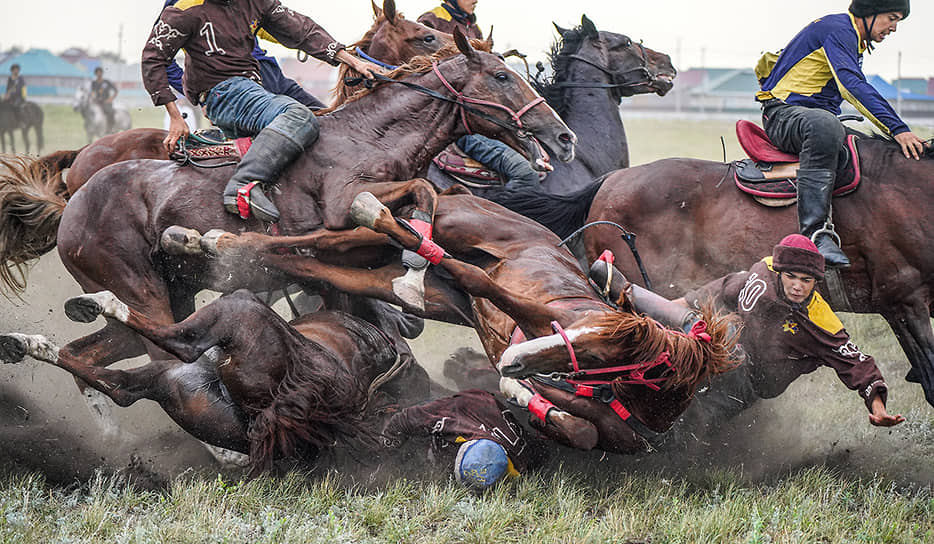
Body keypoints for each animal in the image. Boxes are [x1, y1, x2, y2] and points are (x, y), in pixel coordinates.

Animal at [0, 288, 414, 472]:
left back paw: (94, 303)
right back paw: (24, 344)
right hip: (179, 385)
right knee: (117, 385)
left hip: (228, 322)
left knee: (179, 343)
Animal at [166, 189, 740, 452]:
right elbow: (482, 281)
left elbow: (578, 431)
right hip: (447, 223)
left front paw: (522, 394)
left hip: (408, 289)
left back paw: (216, 245)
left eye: (602, 358)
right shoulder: (536, 313)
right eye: (592, 347)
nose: (517, 360)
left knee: (318, 263)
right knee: (348, 234)